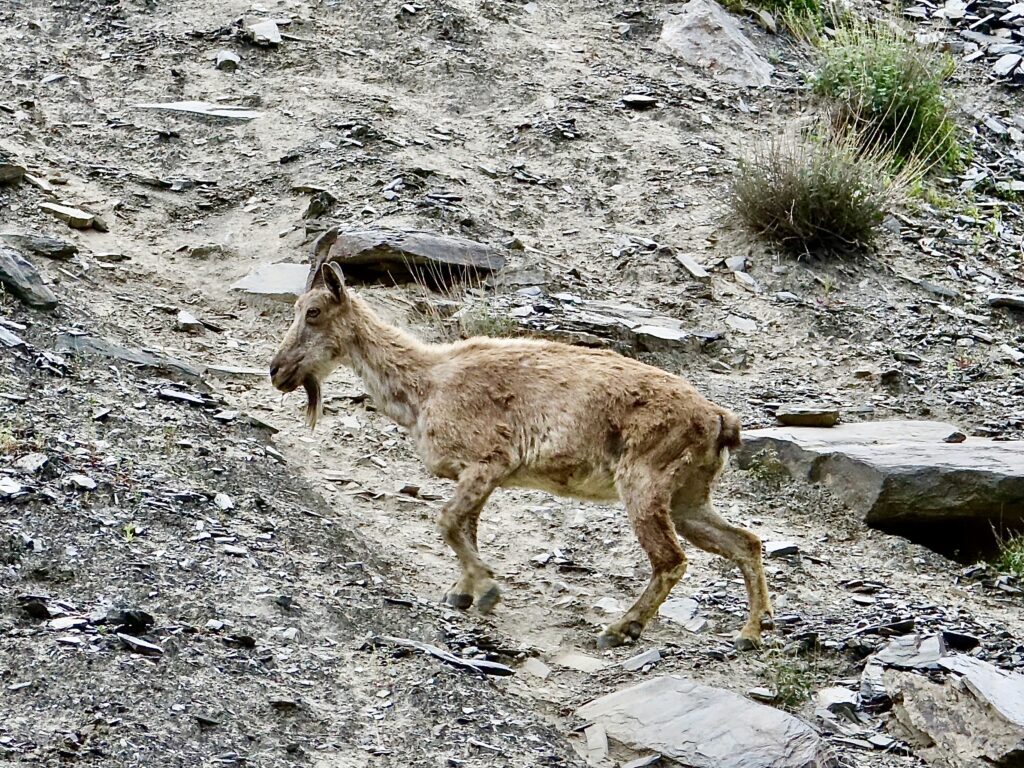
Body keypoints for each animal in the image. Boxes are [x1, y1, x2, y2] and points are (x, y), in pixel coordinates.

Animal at [270, 262, 772, 649]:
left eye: (313, 311)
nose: (276, 371)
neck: (427, 383)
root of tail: (717, 418)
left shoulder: (488, 460)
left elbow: (447, 522)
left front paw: (487, 589)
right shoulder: (478, 475)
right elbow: (466, 526)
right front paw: (463, 593)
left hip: (645, 481)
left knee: (671, 559)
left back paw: (620, 629)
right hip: (687, 495)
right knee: (744, 542)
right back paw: (750, 632)